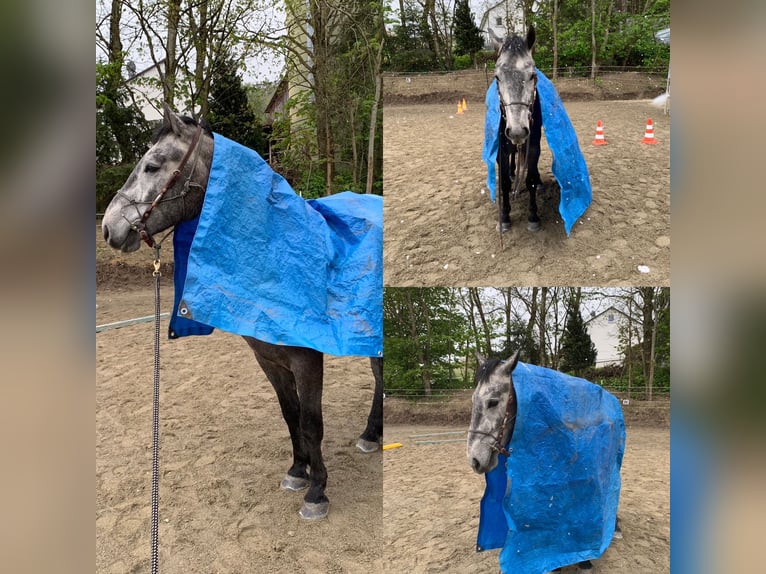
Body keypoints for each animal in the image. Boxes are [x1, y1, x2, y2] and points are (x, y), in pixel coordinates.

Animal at [102, 104, 384, 520]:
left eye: (152, 166)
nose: (109, 229)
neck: (275, 255)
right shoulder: (268, 359)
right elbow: (290, 414)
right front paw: (297, 471)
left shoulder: (306, 360)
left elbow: (311, 422)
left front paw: (317, 491)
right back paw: (371, 434)